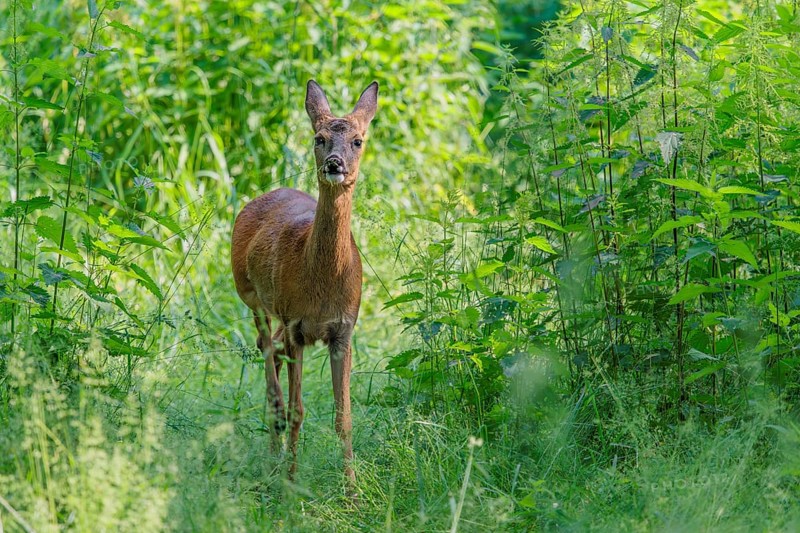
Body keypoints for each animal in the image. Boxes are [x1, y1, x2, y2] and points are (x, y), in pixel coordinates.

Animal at [231, 80, 378, 491]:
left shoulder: (344, 329)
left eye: (357, 140)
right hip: (252, 295)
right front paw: (291, 483)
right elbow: (299, 410)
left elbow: (344, 417)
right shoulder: (297, 323)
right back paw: (273, 445)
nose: (334, 164)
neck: (322, 285)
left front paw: (352, 490)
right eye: (319, 137)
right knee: (266, 350)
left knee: (273, 350)